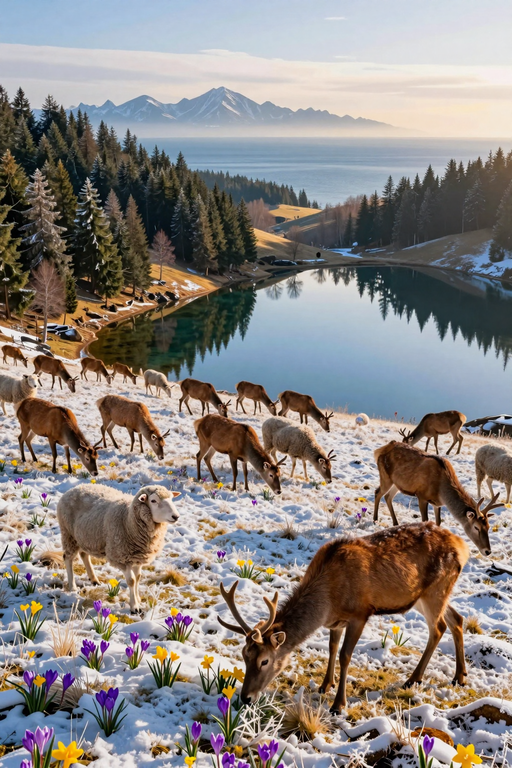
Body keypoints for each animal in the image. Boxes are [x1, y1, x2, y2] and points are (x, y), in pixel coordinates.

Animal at [218, 522, 469, 713]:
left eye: (264, 661)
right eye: (244, 656)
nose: (246, 697)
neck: (328, 601)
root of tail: (462, 545)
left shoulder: (360, 613)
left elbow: (344, 655)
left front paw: (338, 704)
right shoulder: (335, 622)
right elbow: (331, 648)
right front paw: (324, 685)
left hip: (435, 590)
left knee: (438, 627)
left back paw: (414, 678)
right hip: (426, 595)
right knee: (457, 619)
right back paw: (460, 676)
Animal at [373, 441, 502, 554]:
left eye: (488, 527)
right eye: (476, 527)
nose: (488, 551)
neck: (441, 491)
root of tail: (381, 449)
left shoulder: (437, 503)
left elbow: (438, 522)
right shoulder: (421, 496)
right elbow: (425, 521)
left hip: (397, 483)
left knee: (388, 497)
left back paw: (395, 523)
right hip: (385, 476)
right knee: (378, 492)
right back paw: (375, 519)